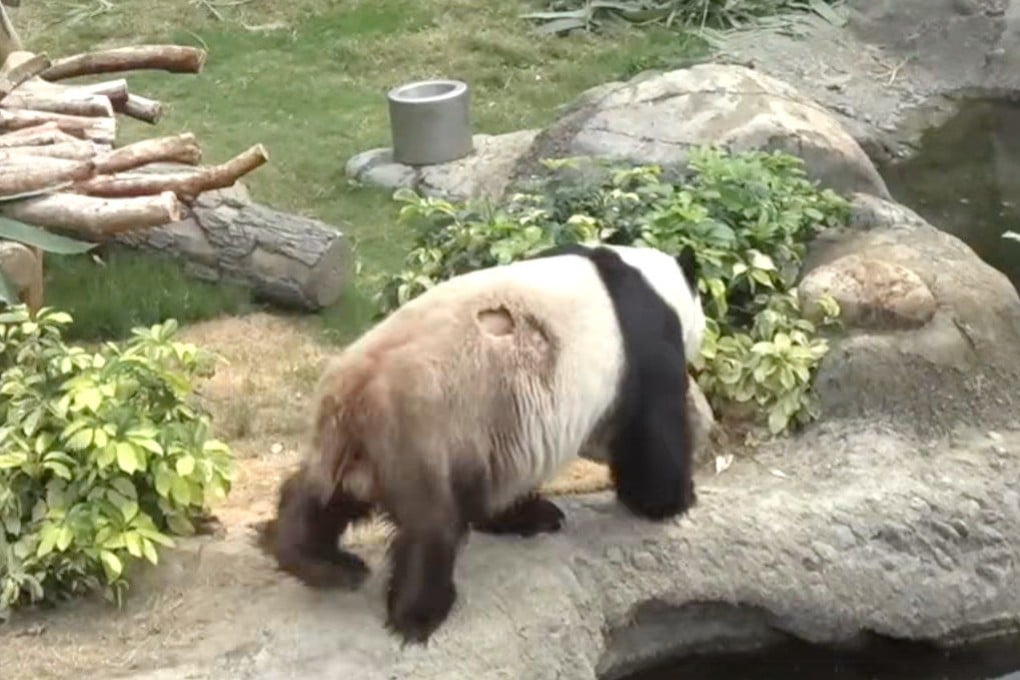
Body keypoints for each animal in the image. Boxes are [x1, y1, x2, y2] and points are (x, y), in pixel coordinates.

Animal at [266, 242, 706, 646]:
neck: (652, 280)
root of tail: (356, 393)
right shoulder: (642, 343)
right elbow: (651, 433)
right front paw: (672, 500)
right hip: (426, 431)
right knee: (433, 526)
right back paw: (418, 614)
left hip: (351, 443)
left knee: (320, 496)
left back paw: (318, 561)